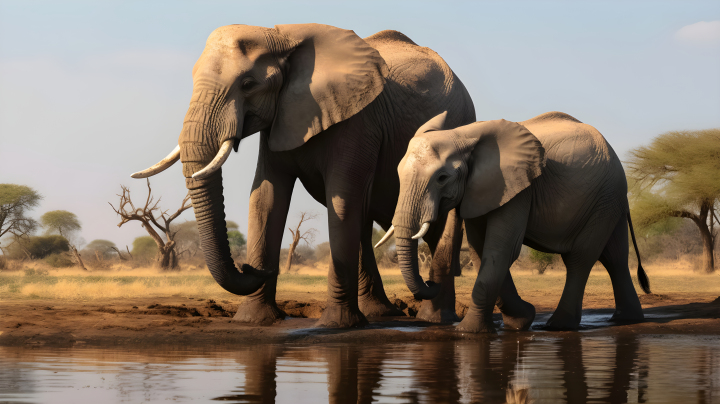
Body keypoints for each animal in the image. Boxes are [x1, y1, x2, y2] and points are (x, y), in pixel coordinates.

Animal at [129, 23, 478, 328]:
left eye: (248, 84)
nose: (250, 266)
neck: (282, 37)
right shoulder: (280, 119)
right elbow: (265, 197)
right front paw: (253, 321)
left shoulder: (357, 121)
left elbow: (342, 200)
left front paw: (336, 327)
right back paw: (381, 314)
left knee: (440, 225)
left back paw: (435, 319)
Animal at [388, 110, 652, 332]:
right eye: (398, 174)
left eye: (442, 178)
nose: (430, 282)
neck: (464, 134)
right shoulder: (479, 190)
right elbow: (480, 250)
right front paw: (521, 321)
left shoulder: (518, 188)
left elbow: (501, 250)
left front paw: (468, 332)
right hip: (608, 201)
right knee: (615, 258)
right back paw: (626, 320)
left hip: (605, 198)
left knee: (581, 257)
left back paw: (559, 326)